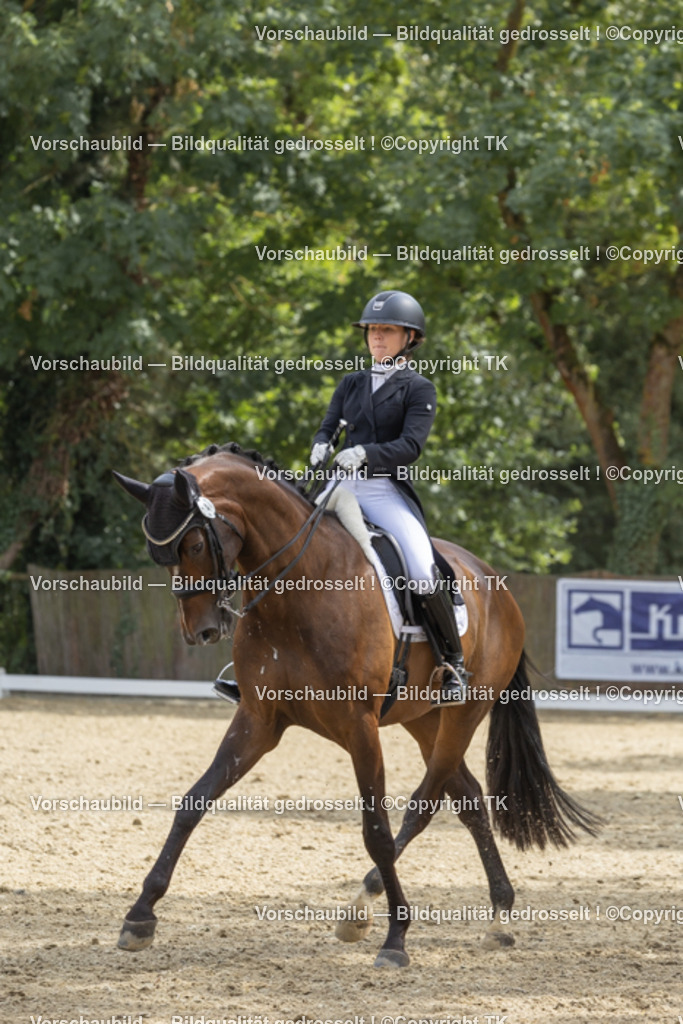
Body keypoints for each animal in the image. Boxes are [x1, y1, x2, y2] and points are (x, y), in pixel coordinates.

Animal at [113, 442, 599, 968]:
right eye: (159, 554)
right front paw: (140, 915)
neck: (301, 586)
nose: (199, 631)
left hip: (464, 713)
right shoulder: (259, 720)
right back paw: (496, 916)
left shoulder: (359, 726)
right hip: (423, 719)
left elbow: (377, 831)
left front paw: (397, 938)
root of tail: (496, 583)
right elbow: (193, 803)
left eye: (196, 546)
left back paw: (370, 907)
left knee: (423, 805)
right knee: (467, 798)